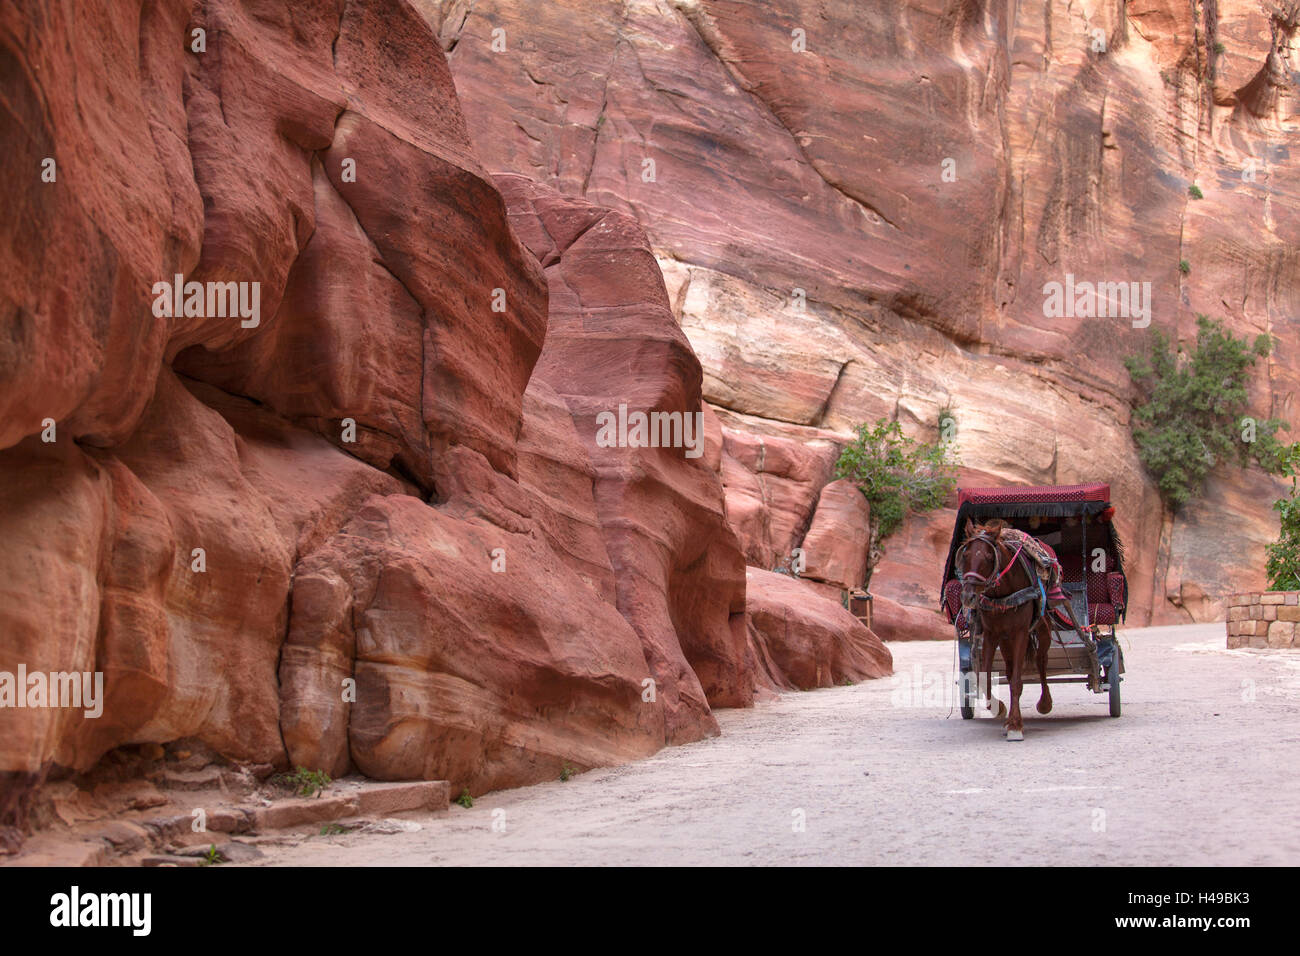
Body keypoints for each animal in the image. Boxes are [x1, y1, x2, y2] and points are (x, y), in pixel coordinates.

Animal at [951, 520, 1071, 743]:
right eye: (965, 554)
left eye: (989, 557)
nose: (968, 596)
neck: (1003, 592)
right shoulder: (991, 635)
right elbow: (985, 676)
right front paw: (999, 709)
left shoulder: (1021, 633)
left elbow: (1016, 680)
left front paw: (1015, 725)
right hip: (1005, 640)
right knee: (1009, 668)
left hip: (1042, 629)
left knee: (1041, 661)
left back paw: (1045, 702)